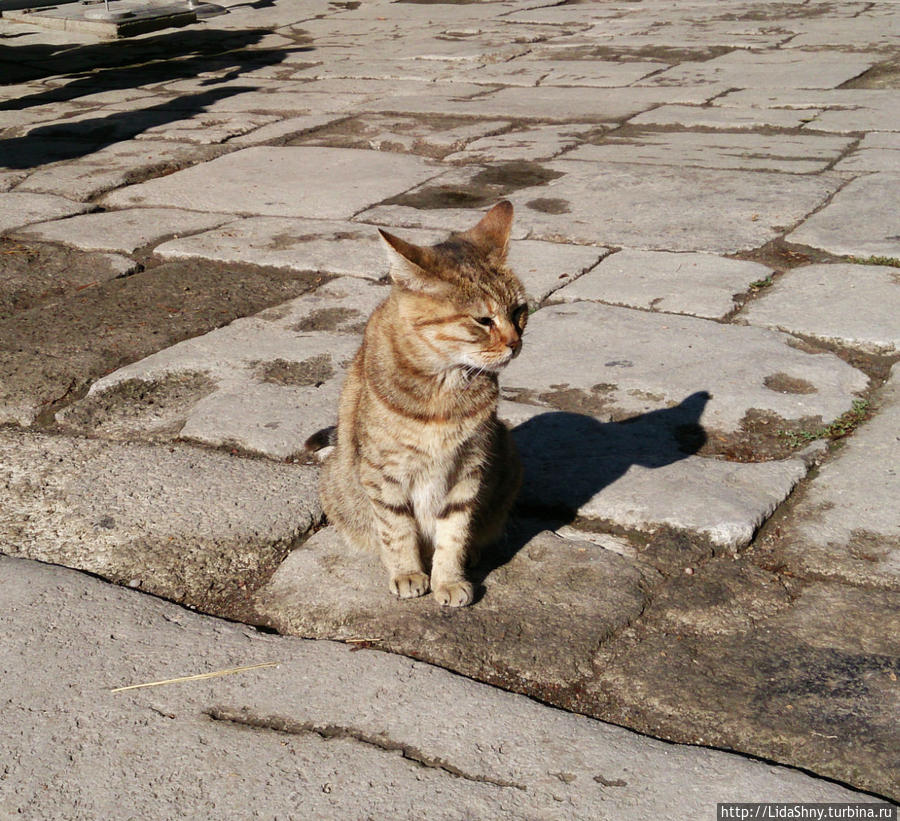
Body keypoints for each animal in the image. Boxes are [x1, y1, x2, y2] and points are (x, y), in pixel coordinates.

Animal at [308, 201, 528, 604]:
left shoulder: (469, 468)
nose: (514, 343)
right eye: (483, 320)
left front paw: (449, 578)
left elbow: (454, 532)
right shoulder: (384, 473)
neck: (445, 388)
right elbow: (397, 529)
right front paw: (408, 573)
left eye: (520, 311)